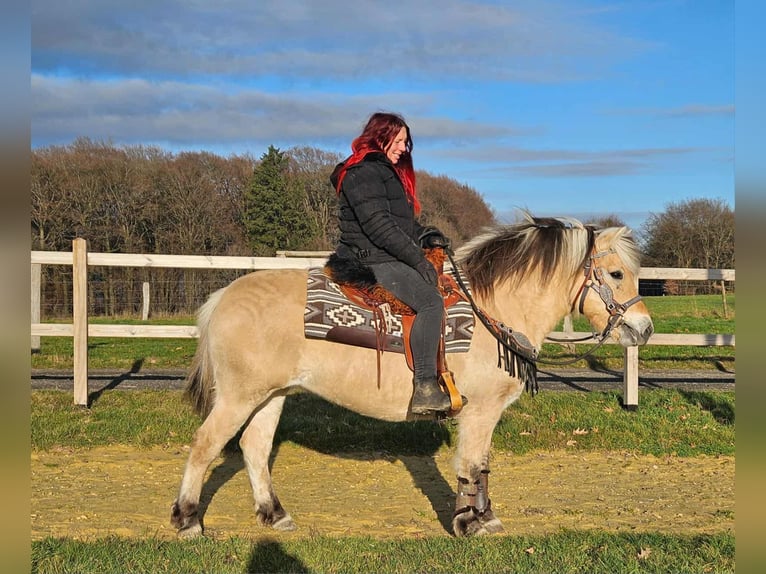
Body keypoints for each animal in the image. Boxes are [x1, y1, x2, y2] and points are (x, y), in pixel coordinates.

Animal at [170, 213, 654, 538]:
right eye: (616, 273)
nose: (644, 329)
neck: (493, 306)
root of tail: (222, 297)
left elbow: (480, 466)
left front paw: (481, 517)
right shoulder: (481, 411)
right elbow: (472, 465)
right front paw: (472, 523)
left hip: (271, 395)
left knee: (254, 448)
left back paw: (274, 514)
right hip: (238, 396)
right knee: (204, 446)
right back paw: (188, 519)